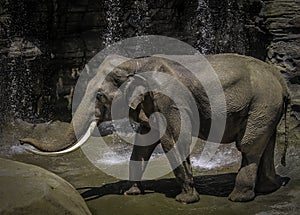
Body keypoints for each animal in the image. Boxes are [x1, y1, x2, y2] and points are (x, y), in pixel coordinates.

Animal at [19, 53, 290, 203]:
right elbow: (143, 145)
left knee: (249, 145)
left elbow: (172, 139)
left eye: (99, 96)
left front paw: (185, 200)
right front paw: (131, 194)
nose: (21, 141)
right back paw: (269, 188)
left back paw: (239, 198)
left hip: (263, 102)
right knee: (266, 142)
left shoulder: (167, 99)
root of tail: (281, 81)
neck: (135, 64)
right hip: (267, 108)